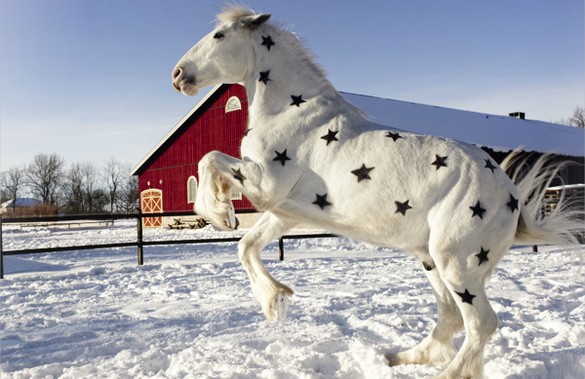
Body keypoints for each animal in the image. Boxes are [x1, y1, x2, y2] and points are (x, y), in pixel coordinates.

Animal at [170, 6, 580, 379]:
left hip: (458, 261)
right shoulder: (286, 211)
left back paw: (446, 372)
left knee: (480, 323)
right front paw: (276, 302)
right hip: (431, 259)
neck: (292, 111)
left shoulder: (266, 184)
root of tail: (511, 195)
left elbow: (209, 159)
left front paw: (219, 211)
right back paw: (400, 357)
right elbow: (247, 245)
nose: (177, 75)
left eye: (219, 36)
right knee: (450, 318)